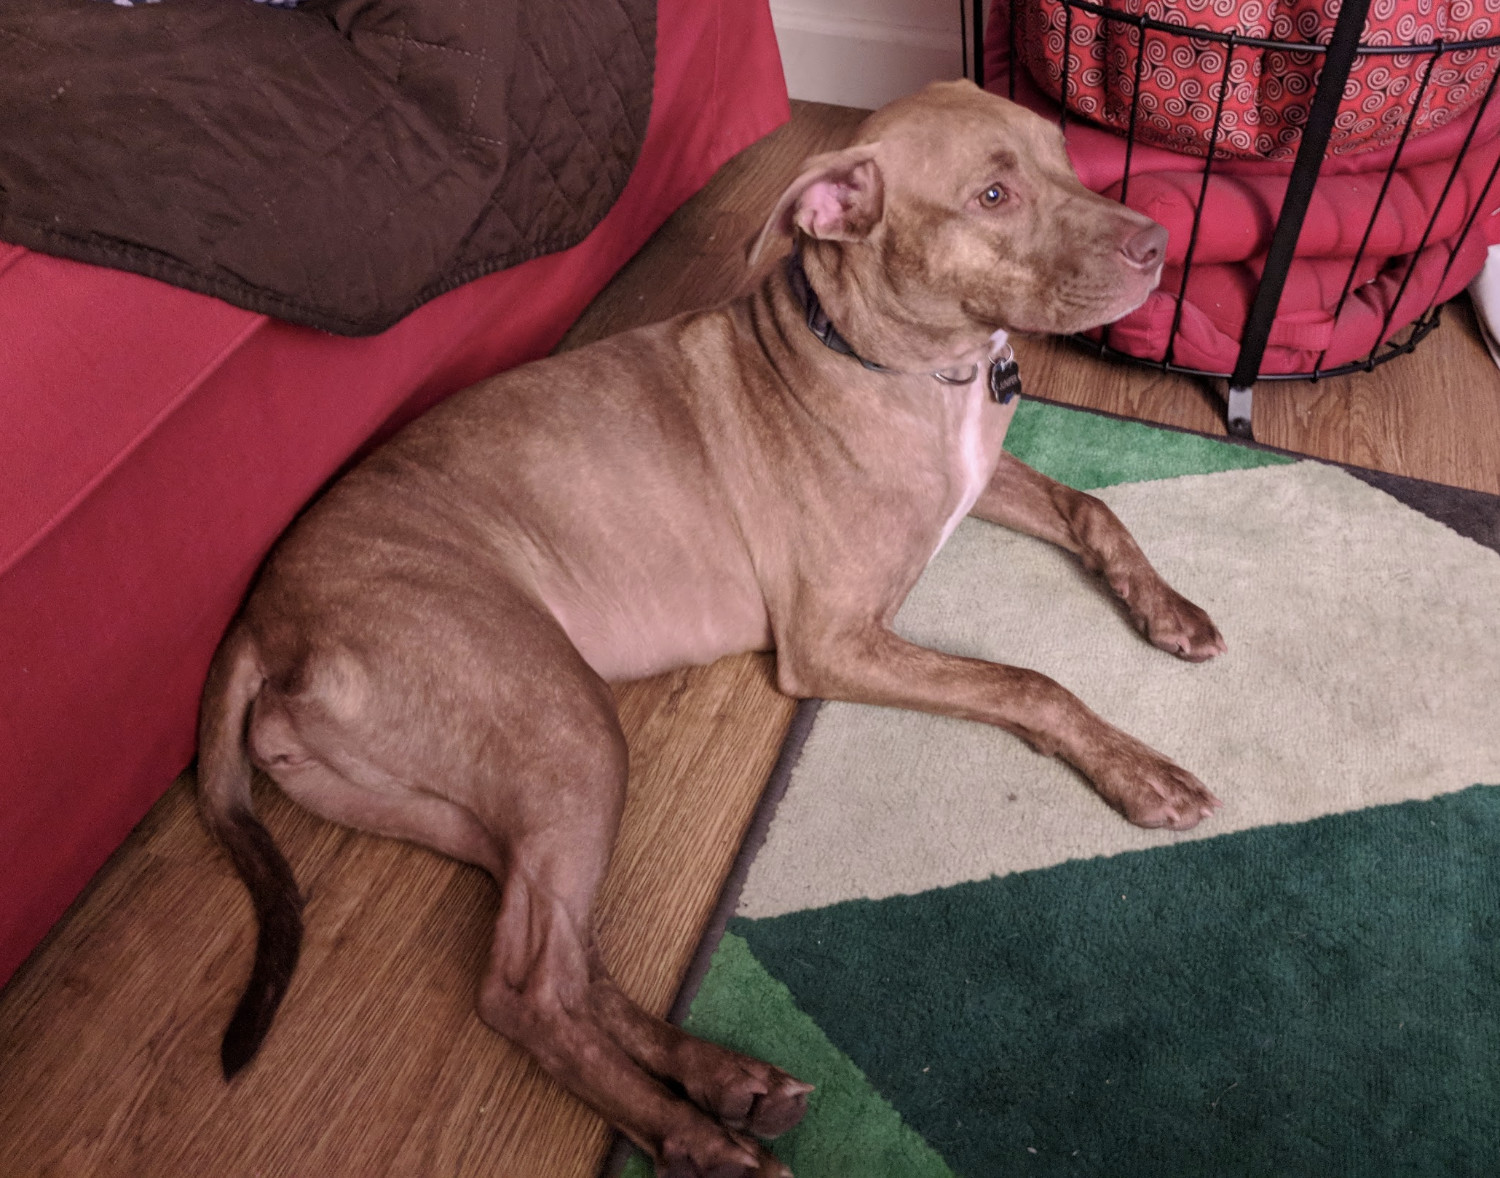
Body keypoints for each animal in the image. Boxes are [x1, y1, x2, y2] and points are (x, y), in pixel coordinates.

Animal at [199, 78, 1224, 1170]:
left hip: (478, 804)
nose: (1161, 244)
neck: (907, 366)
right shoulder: (832, 643)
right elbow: (1028, 680)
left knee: (562, 952)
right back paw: (693, 1135)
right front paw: (1137, 769)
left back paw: (727, 1078)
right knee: (527, 991)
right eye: (993, 195)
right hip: (567, 728)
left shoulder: (978, 485)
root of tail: (265, 617)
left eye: (1063, 157)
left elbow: (1094, 507)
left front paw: (1168, 608)